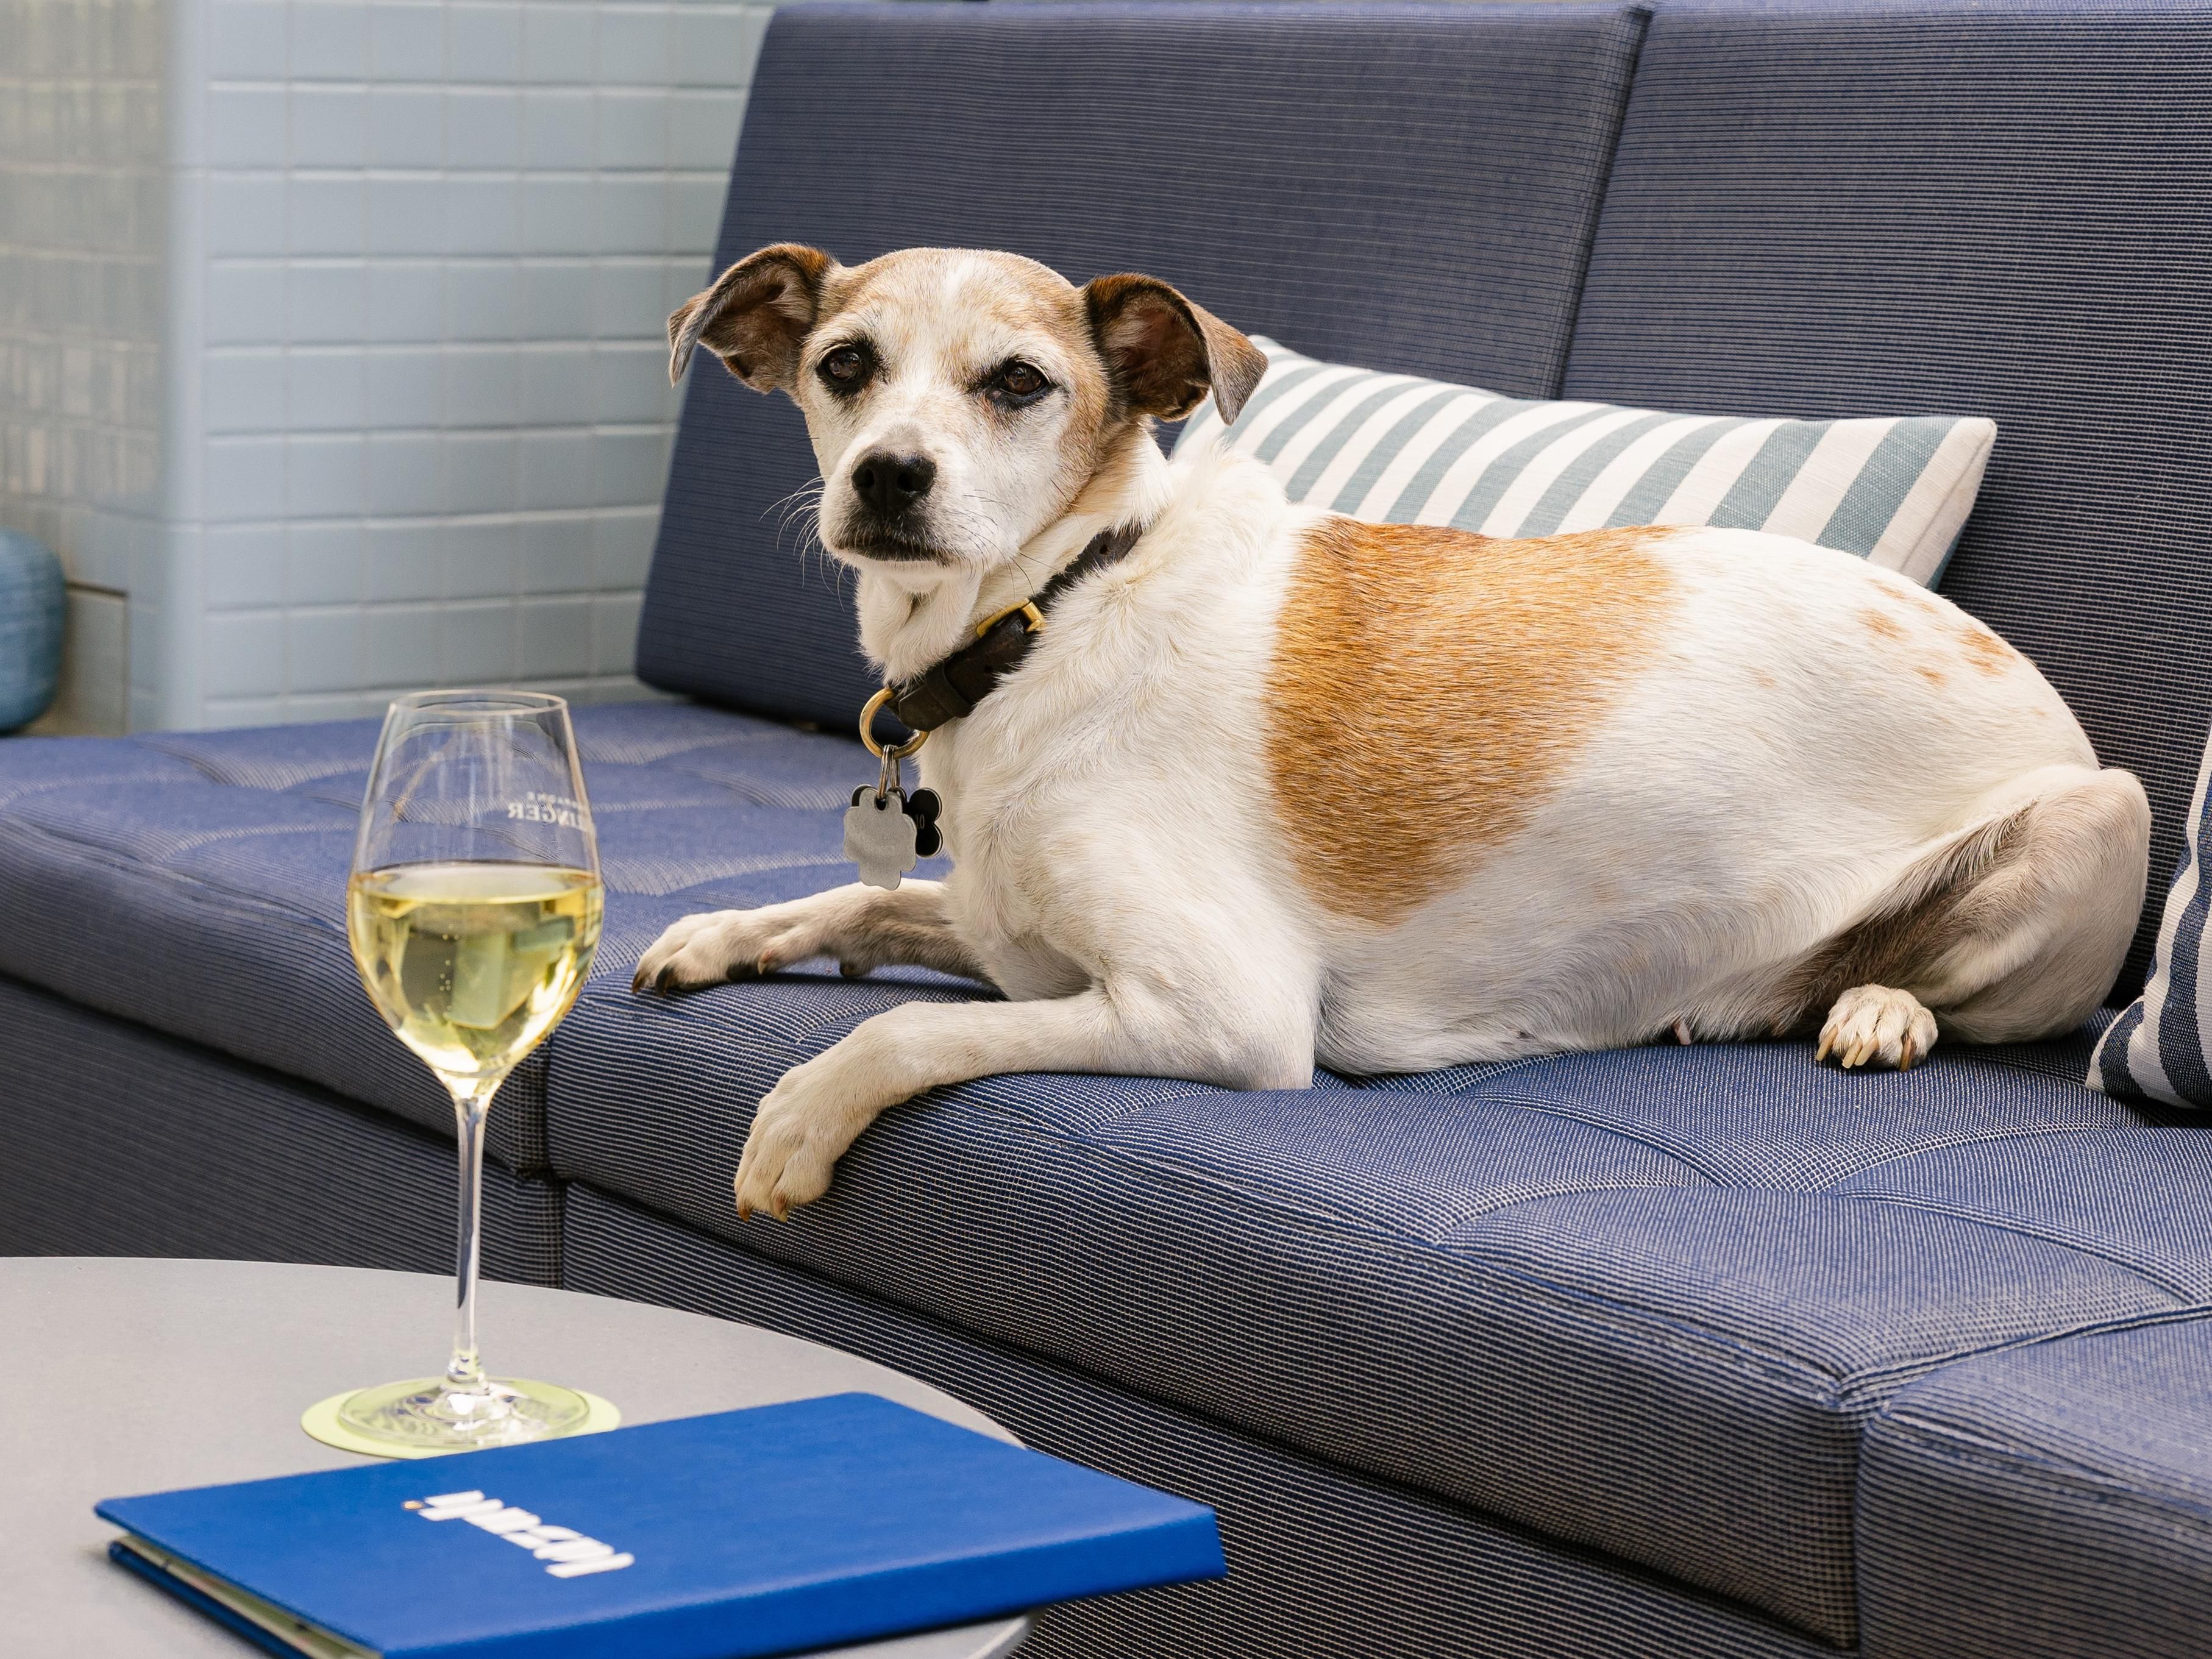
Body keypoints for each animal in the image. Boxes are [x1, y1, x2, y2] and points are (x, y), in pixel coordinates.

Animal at [633, 242, 2152, 1222]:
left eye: (1015, 383)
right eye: (844, 365)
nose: (887, 475)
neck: (1048, 612)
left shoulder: (1220, 1011)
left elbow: (905, 1032)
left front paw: (797, 1115)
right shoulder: (1008, 932)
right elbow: (867, 903)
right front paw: (719, 933)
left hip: (2107, 810)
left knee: (1976, 997)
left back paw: (1880, 1001)